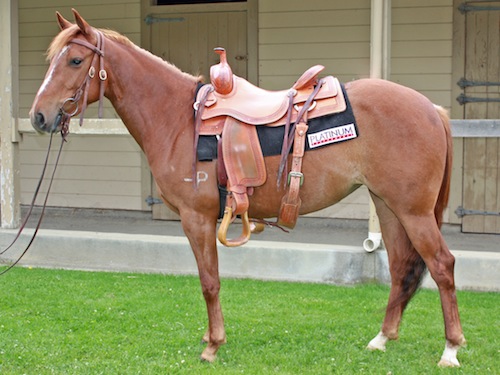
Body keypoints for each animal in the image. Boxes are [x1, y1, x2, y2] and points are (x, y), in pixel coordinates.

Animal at [29, 9, 466, 370]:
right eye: (51, 60)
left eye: (75, 60)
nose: (38, 117)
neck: (177, 120)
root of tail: (432, 109)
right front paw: (211, 337)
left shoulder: (197, 219)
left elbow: (209, 281)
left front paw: (213, 345)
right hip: (389, 206)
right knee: (402, 267)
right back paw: (381, 339)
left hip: (413, 211)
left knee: (442, 265)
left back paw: (450, 349)